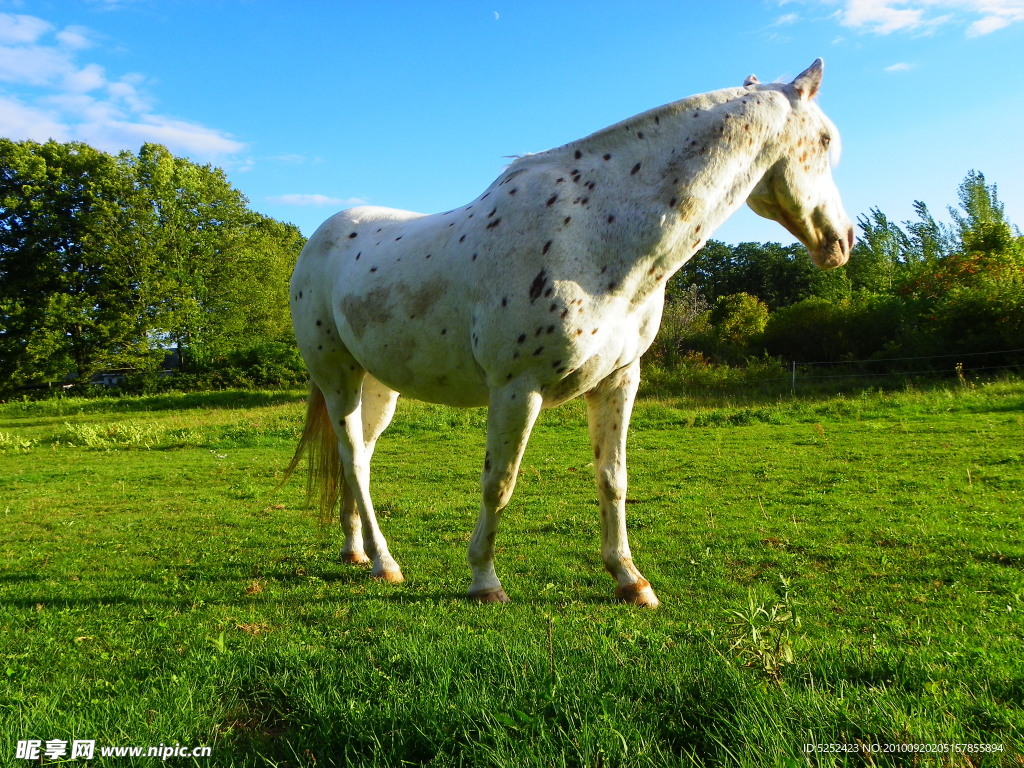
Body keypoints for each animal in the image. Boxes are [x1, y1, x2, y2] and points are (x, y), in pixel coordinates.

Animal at [284, 60, 851, 610]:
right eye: (826, 141)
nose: (842, 240)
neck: (594, 235)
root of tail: (320, 238)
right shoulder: (517, 388)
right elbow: (499, 484)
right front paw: (484, 581)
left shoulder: (619, 380)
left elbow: (613, 479)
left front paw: (630, 580)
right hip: (338, 378)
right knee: (354, 459)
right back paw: (385, 563)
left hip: (380, 385)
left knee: (357, 459)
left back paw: (357, 551)